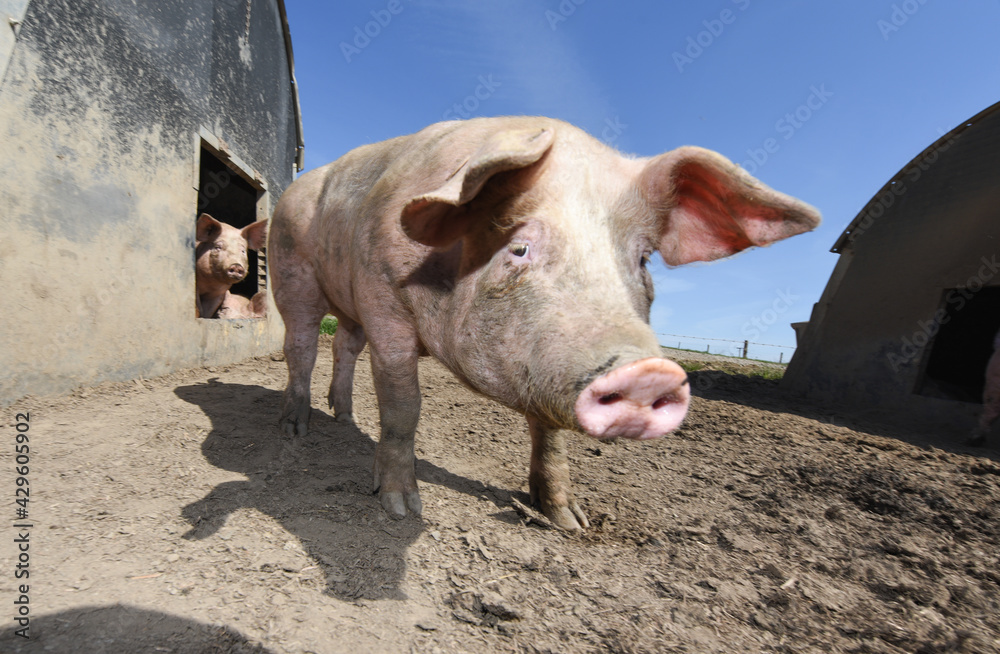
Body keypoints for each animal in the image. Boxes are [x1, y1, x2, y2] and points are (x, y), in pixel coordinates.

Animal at [268, 115, 820, 532]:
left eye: (643, 260)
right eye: (519, 248)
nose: (649, 372)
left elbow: (550, 434)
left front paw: (570, 521)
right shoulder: (383, 300)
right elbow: (404, 408)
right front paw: (402, 509)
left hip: (347, 306)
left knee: (343, 347)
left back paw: (345, 419)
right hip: (292, 270)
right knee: (301, 347)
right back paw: (295, 430)